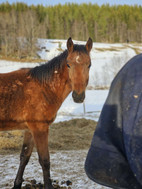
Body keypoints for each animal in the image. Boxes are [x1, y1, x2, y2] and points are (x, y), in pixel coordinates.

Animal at [0, 37, 92, 188]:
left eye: (89, 64)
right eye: (68, 64)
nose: (78, 96)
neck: (44, 87)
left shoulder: (29, 130)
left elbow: (24, 157)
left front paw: (17, 184)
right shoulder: (40, 128)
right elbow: (45, 161)